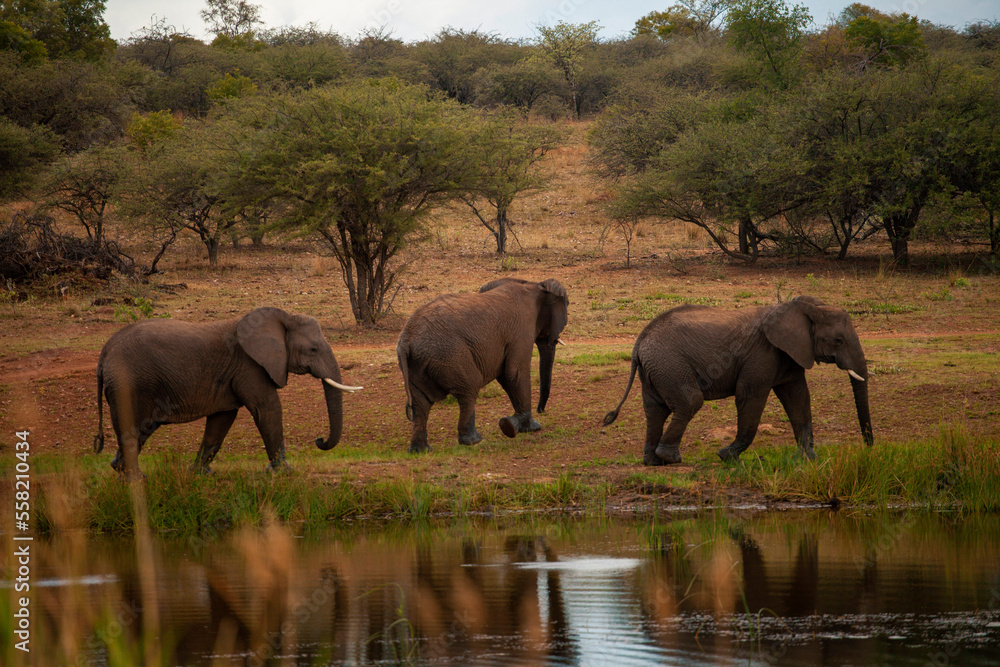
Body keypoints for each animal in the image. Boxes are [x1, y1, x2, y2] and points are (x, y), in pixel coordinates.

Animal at [94, 307, 362, 477]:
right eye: (313, 349)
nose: (319, 440)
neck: (283, 318)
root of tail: (104, 352)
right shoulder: (250, 365)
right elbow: (267, 409)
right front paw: (284, 472)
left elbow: (222, 420)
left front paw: (202, 474)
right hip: (130, 382)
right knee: (132, 428)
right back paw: (136, 479)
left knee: (142, 429)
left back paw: (119, 469)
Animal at [396, 277, 569, 453]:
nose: (541, 410)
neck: (534, 285)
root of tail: (406, 339)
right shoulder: (522, 329)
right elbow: (515, 372)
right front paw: (528, 427)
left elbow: (506, 377)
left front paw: (514, 426)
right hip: (449, 354)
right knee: (469, 389)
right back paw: (473, 441)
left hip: (418, 363)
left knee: (421, 403)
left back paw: (421, 451)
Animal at [603, 296, 872, 466]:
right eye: (838, 340)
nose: (869, 449)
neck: (805, 307)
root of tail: (640, 339)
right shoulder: (762, 354)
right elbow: (750, 397)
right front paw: (728, 457)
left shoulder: (789, 355)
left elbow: (798, 399)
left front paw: (808, 460)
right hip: (669, 364)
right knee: (690, 402)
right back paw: (671, 459)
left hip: (656, 368)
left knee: (655, 410)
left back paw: (654, 462)